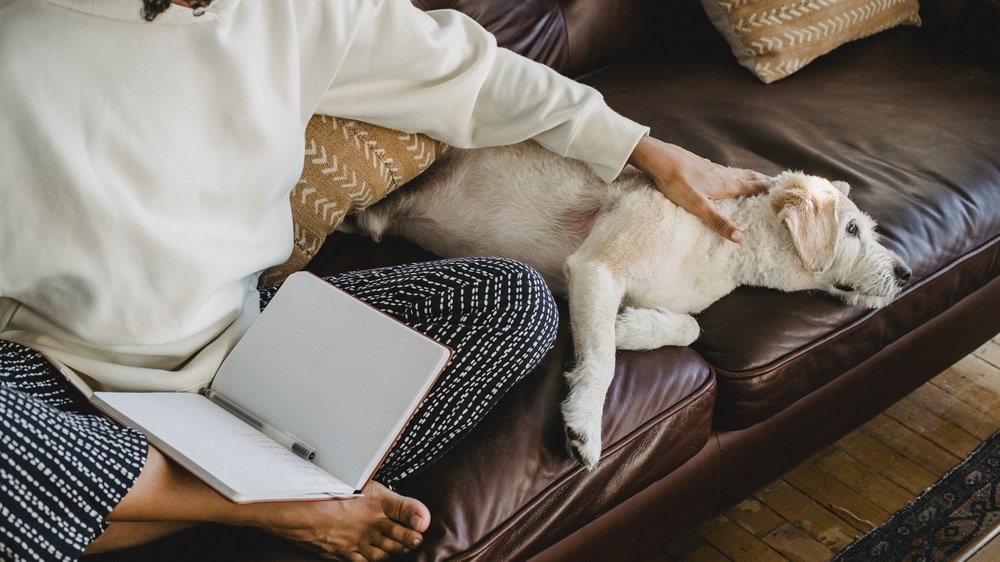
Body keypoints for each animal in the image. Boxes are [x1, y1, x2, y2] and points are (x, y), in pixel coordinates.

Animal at [356, 141, 912, 468]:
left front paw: (627, 326)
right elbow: (601, 363)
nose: (906, 273)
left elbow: (688, 328)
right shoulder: (597, 269)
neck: (727, 245)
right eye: (852, 229)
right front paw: (584, 422)